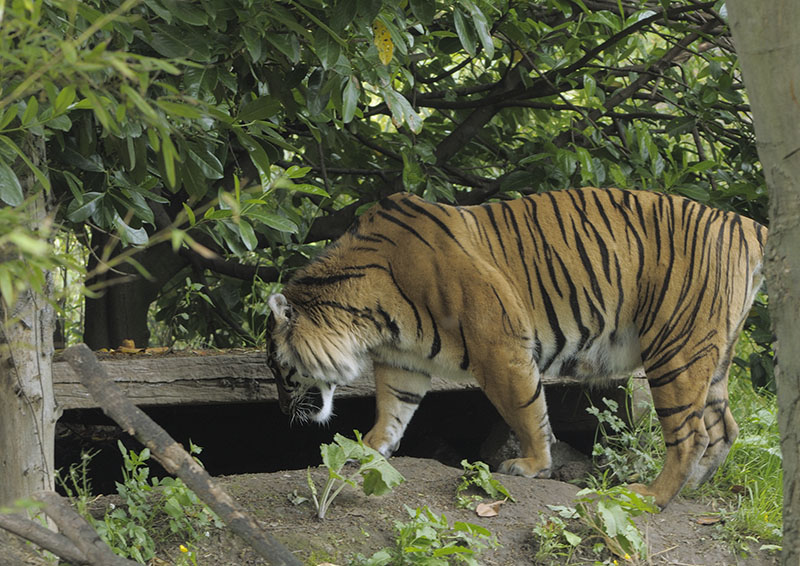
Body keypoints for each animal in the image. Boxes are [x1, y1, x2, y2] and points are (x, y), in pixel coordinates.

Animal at [266, 187, 767, 508]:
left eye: (277, 369)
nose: (282, 411)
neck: (371, 319)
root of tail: (743, 222)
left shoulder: (500, 346)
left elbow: (527, 412)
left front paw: (532, 465)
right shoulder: (401, 364)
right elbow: (392, 414)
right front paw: (366, 449)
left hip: (676, 348)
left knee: (692, 434)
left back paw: (652, 496)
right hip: (710, 355)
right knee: (724, 428)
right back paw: (693, 489)